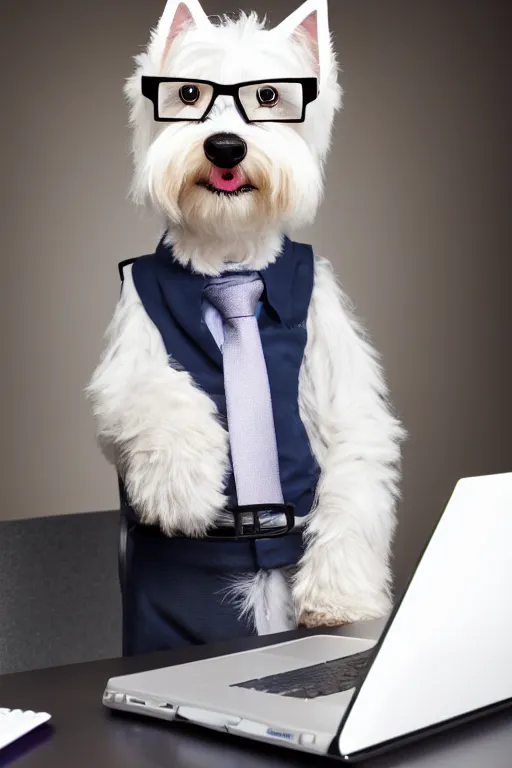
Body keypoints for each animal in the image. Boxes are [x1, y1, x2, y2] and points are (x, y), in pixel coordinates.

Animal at [86, 0, 404, 656]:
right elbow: (150, 391)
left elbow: (353, 462)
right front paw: (183, 487)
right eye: (188, 93)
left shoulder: (338, 373)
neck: (231, 261)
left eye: (268, 95)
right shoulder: (131, 339)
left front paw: (340, 602)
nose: (226, 147)